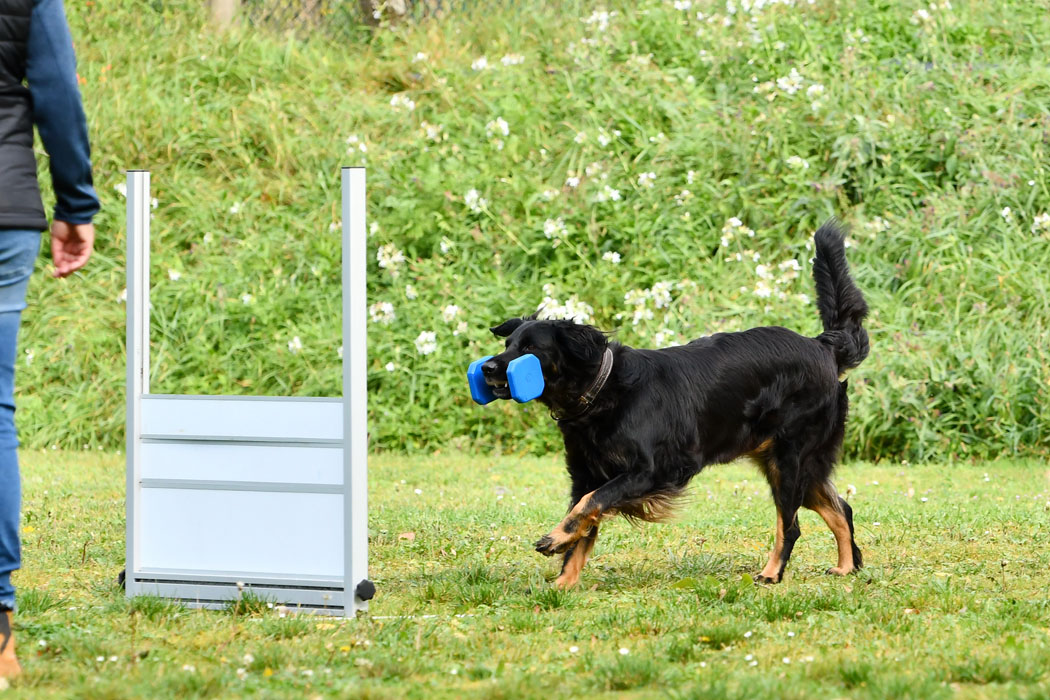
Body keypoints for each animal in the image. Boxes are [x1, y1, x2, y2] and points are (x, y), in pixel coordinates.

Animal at [480, 221, 869, 587]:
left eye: (531, 349)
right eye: (508, 345)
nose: (487, 367)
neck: (603, 391)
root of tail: (822, 345)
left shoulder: (650, 471)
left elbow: (591, 502)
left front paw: (556, 539)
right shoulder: (586, 473)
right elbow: (584, 517)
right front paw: (563, 581)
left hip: (788, 459)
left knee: (790, 525)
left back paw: (772, 573)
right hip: (796, 462)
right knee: (842, 509)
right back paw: (846, 567)